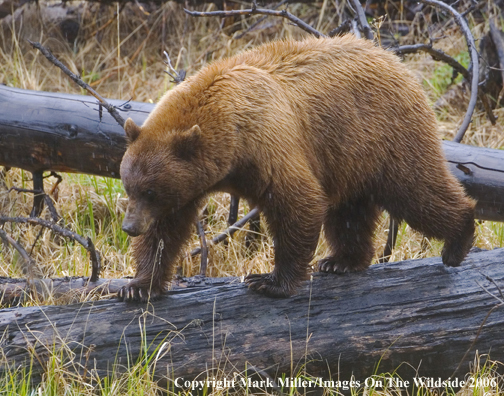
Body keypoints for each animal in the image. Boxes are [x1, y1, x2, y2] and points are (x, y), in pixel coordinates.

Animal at [118, 34, 476, 304]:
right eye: (129, 187)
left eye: (150, 190)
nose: (129, 227)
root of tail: (394, 60)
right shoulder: (191, 183)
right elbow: (166, 229)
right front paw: (137, 286)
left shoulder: (267, 143)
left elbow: (297, 201)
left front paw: (268, 281)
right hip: (349, 156)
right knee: (350, 212)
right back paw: (341, 261)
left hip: (387, 135)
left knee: (417, 192)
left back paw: (457, 241)